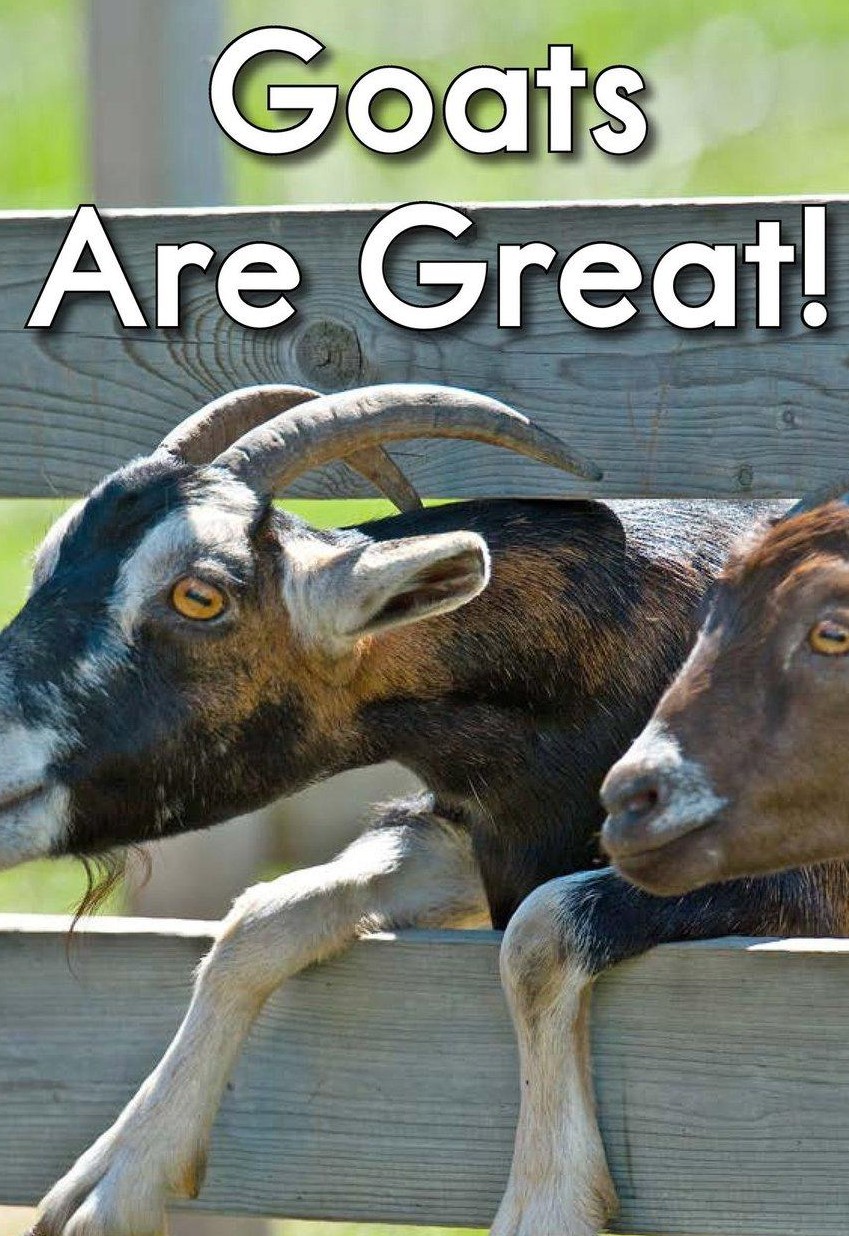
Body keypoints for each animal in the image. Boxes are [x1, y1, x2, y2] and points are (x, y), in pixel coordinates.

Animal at [0, 378, 800, 1236]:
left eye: (199, 595)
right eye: (45, 567)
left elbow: (538, 934)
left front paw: (546, 1202)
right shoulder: (476, 829)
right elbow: (265, 910)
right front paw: (119, 1174)